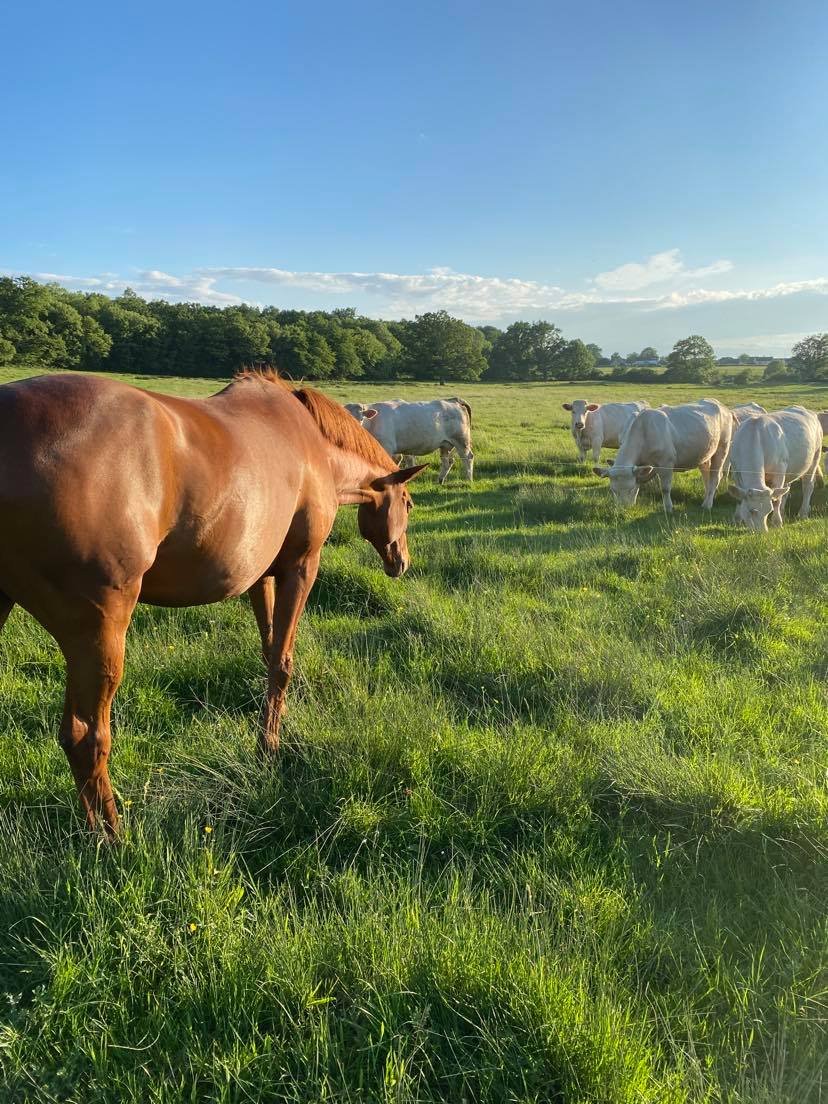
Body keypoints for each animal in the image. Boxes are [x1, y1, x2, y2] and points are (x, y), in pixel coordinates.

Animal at [0, 369, 424, 836]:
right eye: (408, 503)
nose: (401, 562)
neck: (313, 447)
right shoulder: (301, 567)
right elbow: (283, 661)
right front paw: (269, 750)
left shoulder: (262, 576)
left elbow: (269, 655)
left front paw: (268, 740)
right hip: (97, 631)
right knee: (85, 737)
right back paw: (113, 837)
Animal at [345, 397, 474, 482]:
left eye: (361, 418)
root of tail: (453, 400)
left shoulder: (387, 447)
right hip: (445, 444)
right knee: (448, 461)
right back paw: (440, 480)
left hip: (461, 440)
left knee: (468, 457)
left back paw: (468, 479)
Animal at [593, 398, 733, 514]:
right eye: (613, 490)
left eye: (630, 488)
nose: (623, 510)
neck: (643, 432)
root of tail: (720, 405)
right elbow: (639, 483)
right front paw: (633, 503)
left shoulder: (666, 463)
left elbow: (665, 488)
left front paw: (668, 508)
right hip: (704, 454)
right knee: (706, 476)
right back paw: (706, 500)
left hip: (722, 448)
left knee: (715, 477)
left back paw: (708, 505)